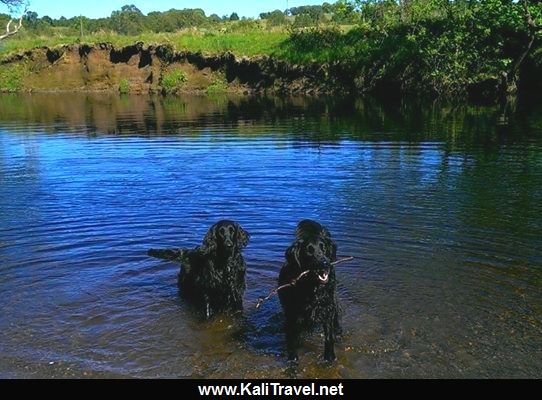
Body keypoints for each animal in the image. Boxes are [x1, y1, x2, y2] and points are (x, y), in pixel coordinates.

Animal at [280, 219, 340, 362]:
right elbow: (292, 340)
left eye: (323, 247)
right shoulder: (293, 316)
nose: (325, 263)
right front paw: (292, 361)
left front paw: (330, 358)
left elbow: (329, 337)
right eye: (309, 251)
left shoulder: (327, 310)